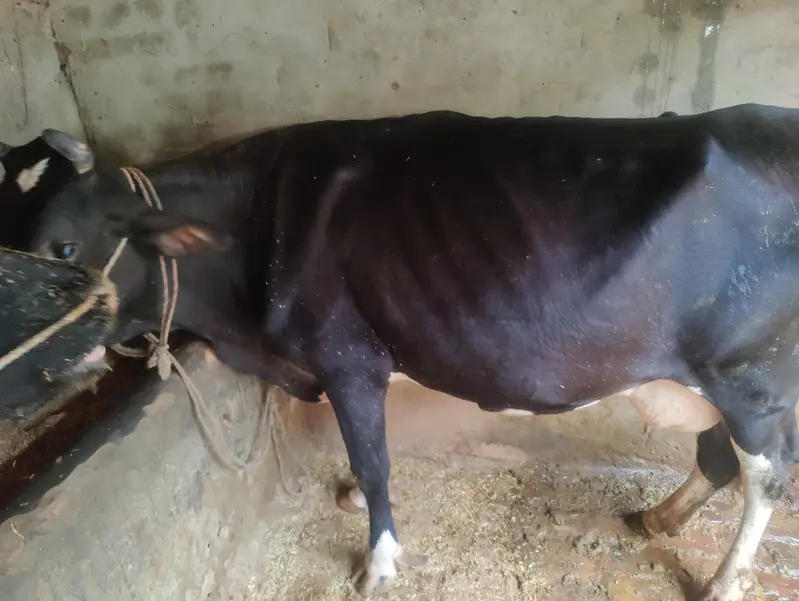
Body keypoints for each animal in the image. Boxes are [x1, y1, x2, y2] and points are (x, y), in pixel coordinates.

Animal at [22, 103, 799, 601]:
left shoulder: (346, 358)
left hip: (747, 375)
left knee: (764, 474)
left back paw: (723, 581)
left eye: (62, 246)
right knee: (717, 456)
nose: (20, 375)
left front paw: (377, 562)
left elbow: (374, 461)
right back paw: (659, 519)